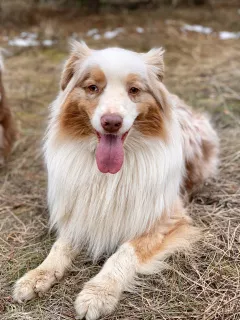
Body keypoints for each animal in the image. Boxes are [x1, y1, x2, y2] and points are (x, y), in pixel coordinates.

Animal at [13, 42, 219, 320]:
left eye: (134, 90)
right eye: (92, 87)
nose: (111, 122)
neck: (110, 174)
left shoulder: (167, 219)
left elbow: (124, 253)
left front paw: (98, 292)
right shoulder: (80, 207)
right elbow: (60, 246)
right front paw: (38, 275)